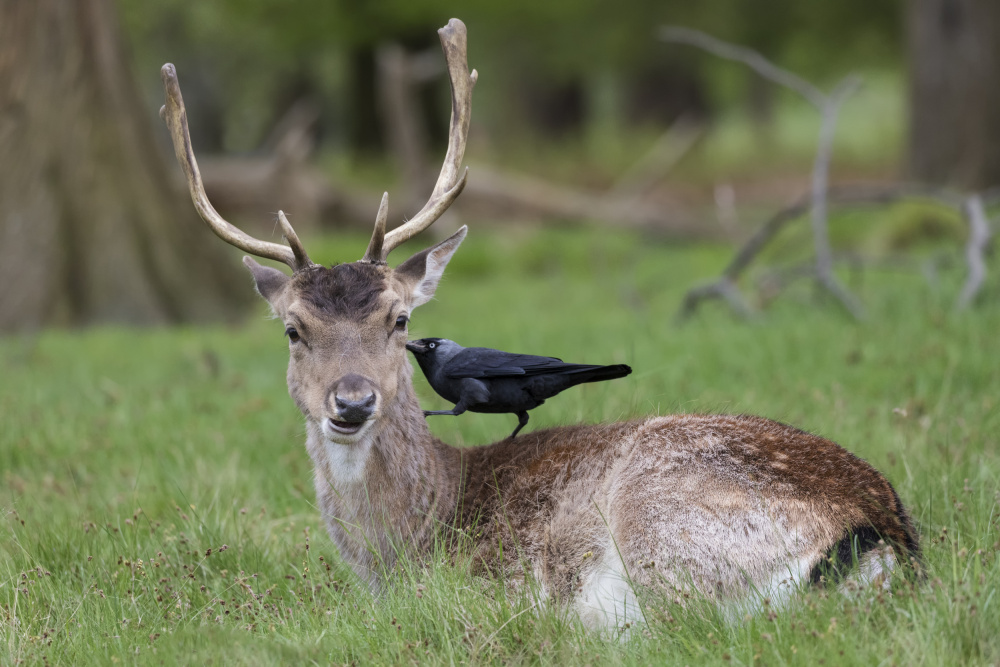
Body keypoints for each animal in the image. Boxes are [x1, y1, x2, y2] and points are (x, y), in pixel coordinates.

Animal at [160, 18, 916, 628]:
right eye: (293, 329)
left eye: (399, 320)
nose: (351, 401)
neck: (409, 545)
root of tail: (881, 536)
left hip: (657, 520)